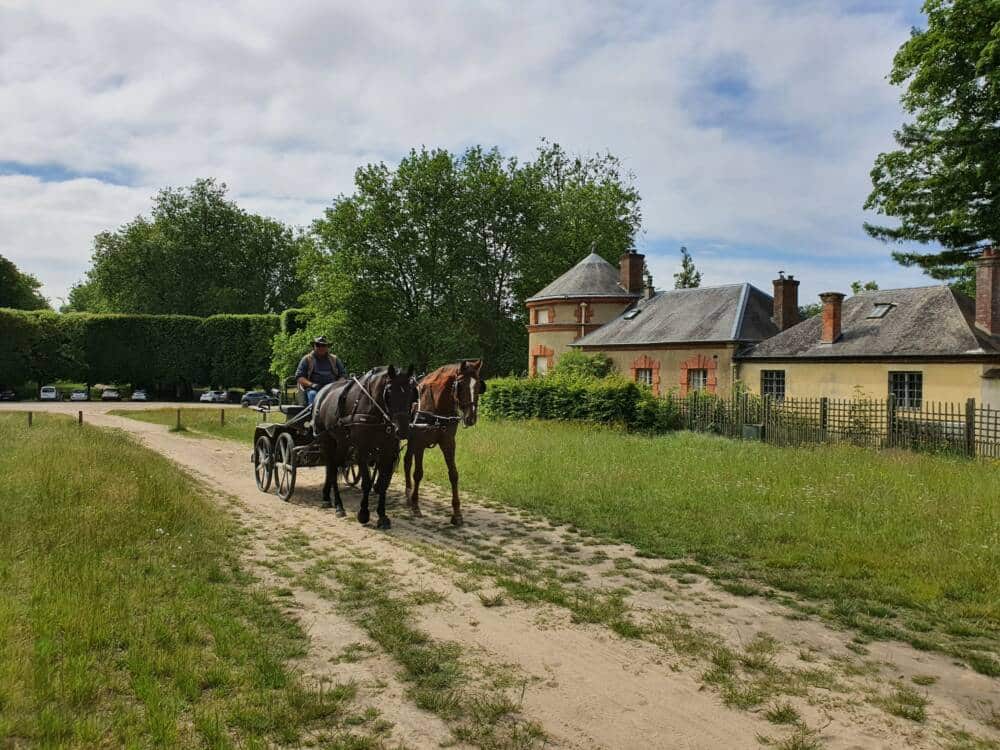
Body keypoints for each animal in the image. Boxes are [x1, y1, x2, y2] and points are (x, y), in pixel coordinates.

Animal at [316, 368, 418, 532]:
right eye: (389, 392)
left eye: (411, 392)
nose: (402, 430)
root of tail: (322, 392)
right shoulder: (362, 450)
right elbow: (366, 483)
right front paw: (363, 513)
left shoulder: (387, 451)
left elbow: (383, 483)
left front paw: (382, 516)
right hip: (328, 442)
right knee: (332, 468)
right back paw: (338, 505)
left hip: (342, 443)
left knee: (331, 468)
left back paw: (326, 497)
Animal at [404, 360, 486, 524]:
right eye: (460, 385)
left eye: (479, 386)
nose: (471, 418)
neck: (436, 407)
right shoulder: (419, 443)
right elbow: (418, 473)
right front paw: (416, 506)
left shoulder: (448, 443)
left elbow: (453, 474)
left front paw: (457, 513)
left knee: (406, 461)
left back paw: (408, 494)